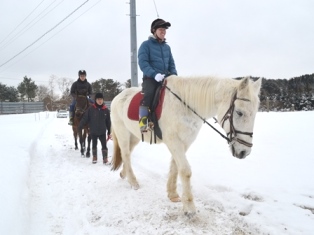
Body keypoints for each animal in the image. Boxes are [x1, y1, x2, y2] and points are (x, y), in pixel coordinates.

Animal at [109, 75, 262, 217]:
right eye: (239, 112)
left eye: (255, 114)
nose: (244, 152)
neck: (185, 105)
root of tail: (117, 97)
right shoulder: (174, 141)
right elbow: (185, 170)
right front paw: (189, 207)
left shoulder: (184, 142)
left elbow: (176, 167)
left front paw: (172, 194)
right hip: (123, 133)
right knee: (126, 154)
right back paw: (133, 182)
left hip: (134, 136)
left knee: (127, 153)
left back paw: (124, 174)